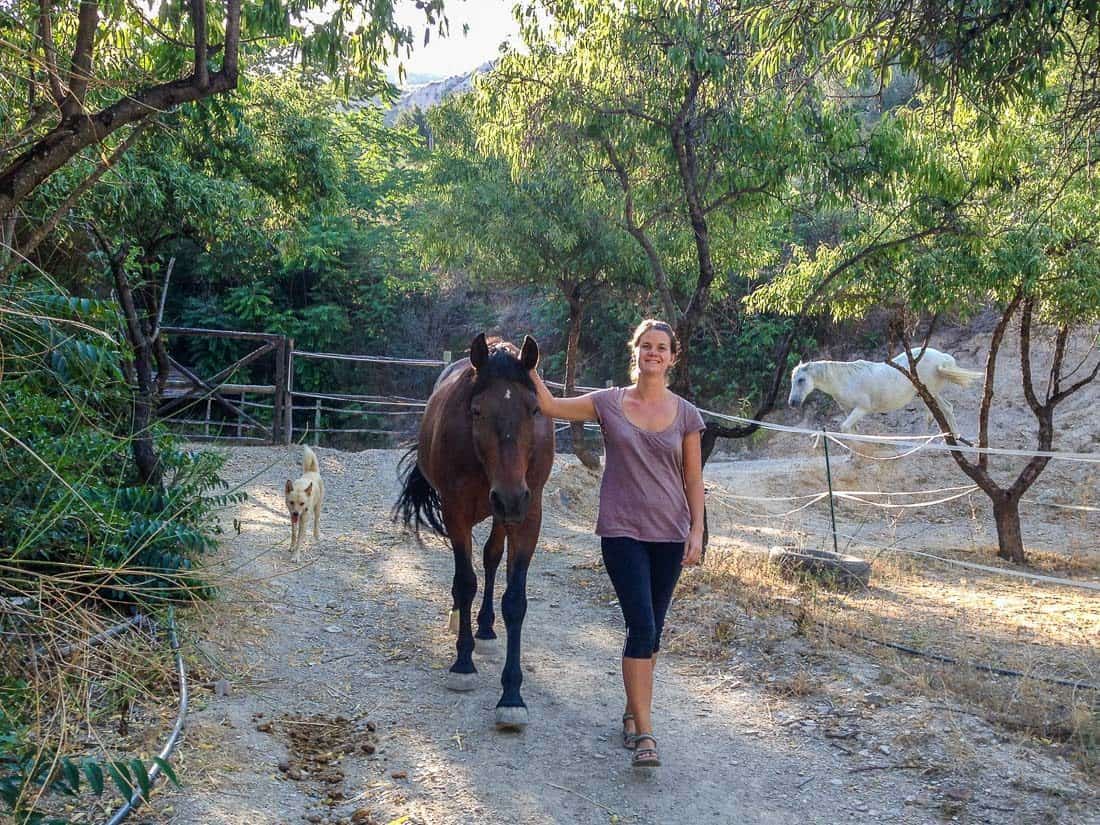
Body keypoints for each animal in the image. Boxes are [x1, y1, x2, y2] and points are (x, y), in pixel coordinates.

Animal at [393, 332, 554, 734]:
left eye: (534, 410)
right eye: (477, 411)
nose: (511, 496)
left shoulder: (528, 516)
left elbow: (515, 600)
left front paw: (511, 696)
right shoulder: (456, 512)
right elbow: (465, 582)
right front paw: (462, 664)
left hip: (504, 514)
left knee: (492, 558)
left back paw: (485, 629)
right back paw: (460, 622)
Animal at [787, 349, 985, 440]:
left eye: (801, 380)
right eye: (792, 379)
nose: (793, 402)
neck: (845, 380)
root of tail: (942, 358)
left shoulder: (862, 409)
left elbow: (845, 428)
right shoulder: (849, 411)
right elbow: (852, 431)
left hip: (931, 392)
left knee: (945, 409)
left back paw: (954, 435)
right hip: (925, 394)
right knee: (941, 411)